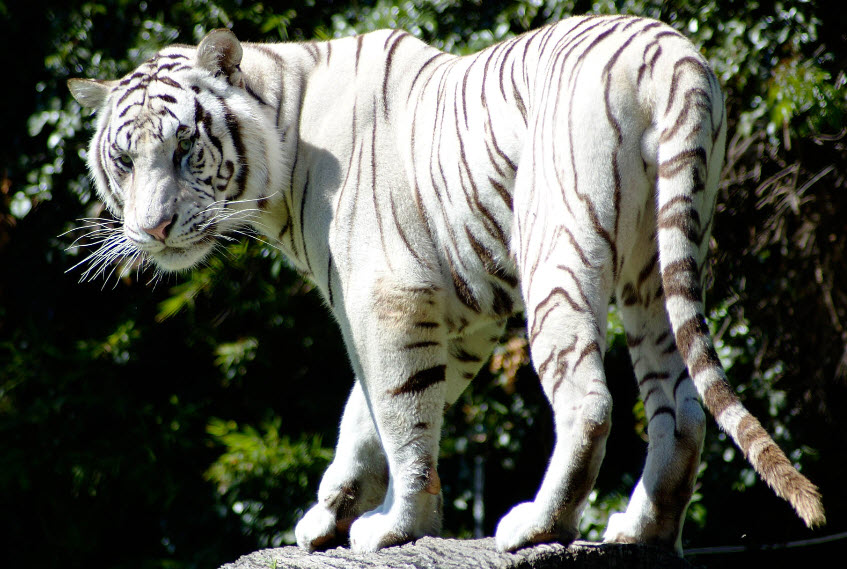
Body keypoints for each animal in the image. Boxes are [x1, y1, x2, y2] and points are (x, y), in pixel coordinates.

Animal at [68, 14, 825, 554]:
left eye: (184, 149)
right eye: (125, 160)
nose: (155, 227)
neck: (284, 133)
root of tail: (673, 56)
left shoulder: (389, 298)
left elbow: (400, 415)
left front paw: (396, 526)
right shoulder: (464, 317)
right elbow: (362, 414)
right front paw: (328, 513)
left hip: (557, 244)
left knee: (588, 400)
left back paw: (536, 526)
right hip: (655, 261)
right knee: (680, 403)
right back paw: (641, 530)